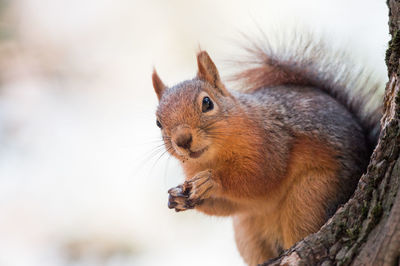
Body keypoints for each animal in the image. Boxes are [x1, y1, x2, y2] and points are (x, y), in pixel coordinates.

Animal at [152, 34, 382, 264]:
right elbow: (229, 206)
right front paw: (177, 198)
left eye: (207, 103)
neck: (213, 157)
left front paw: (212, 180)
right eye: (158, 123)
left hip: (312, 196)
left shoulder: (272, 142)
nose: (182, 140)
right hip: (248, 232)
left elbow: (262, 175)